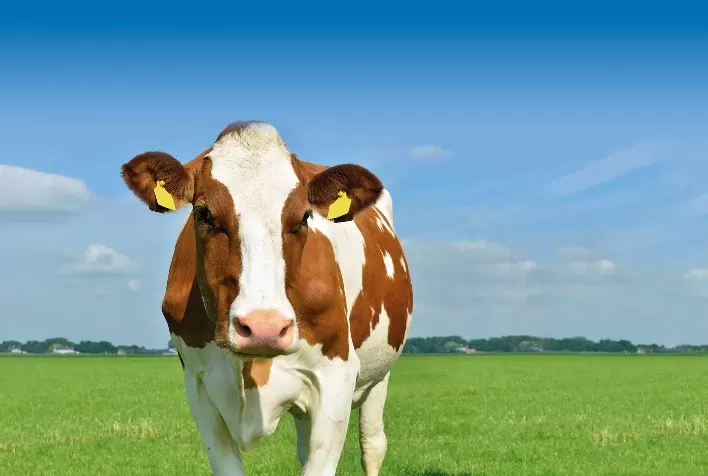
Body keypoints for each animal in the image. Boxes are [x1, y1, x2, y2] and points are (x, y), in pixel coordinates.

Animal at [120, 121, 414, 475]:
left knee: (372, 445)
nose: (264, 328)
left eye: (304, 217)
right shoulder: (199, 384)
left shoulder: (337, 377)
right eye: (203, 213)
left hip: (379, 375)